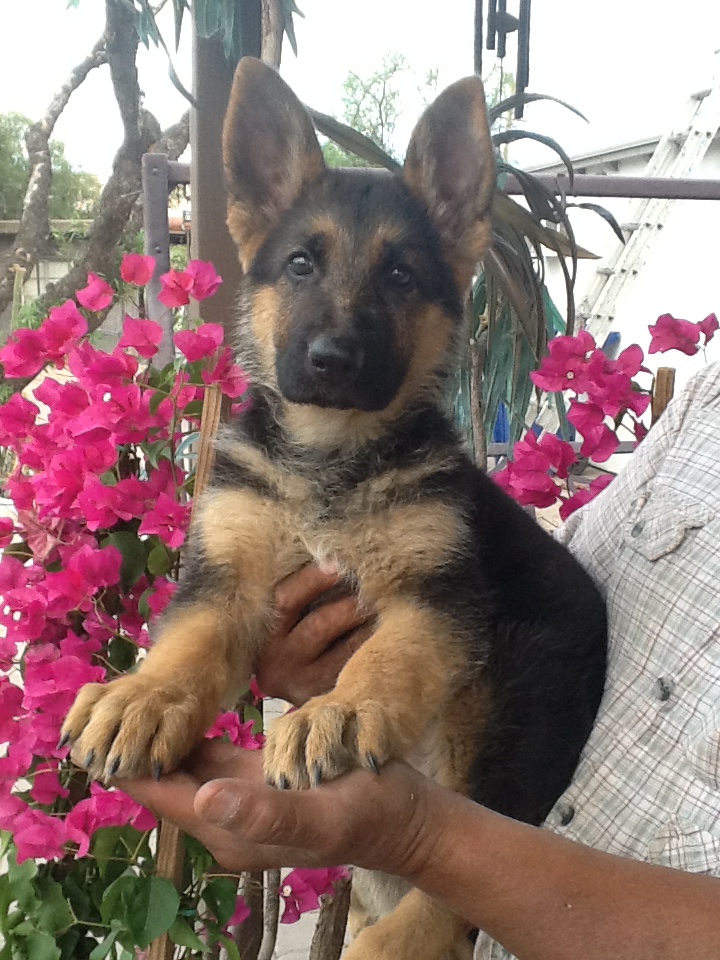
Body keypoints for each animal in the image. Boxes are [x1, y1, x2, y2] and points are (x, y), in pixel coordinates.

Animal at [66, 58, 608, 960]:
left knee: (475, 848)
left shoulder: (440, 597)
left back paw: (396, 940)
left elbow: (387, 660)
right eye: (299, 265)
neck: (329, 456)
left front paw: (342, 710)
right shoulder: (227, 578)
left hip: (521, 687)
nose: (332, 359)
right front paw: (143, 697)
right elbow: (191, 644)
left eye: (400, 276)